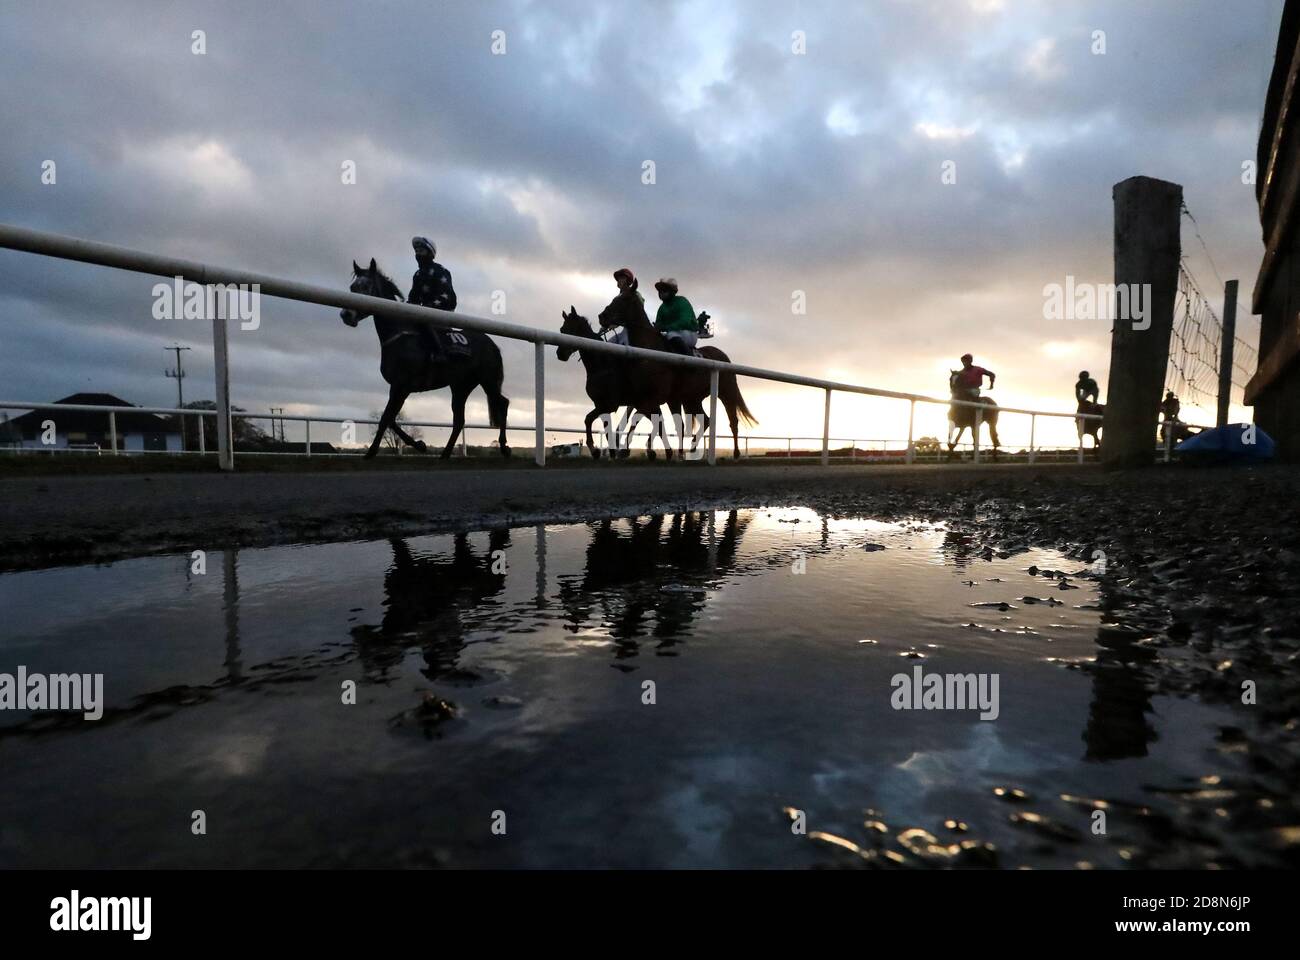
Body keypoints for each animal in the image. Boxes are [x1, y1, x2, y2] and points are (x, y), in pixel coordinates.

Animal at [595, 286, 759, 457]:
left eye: (625, 298)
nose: (602, 316)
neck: (650, 351)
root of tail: (724, 356)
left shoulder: (656, 397)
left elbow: (638, 418)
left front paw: (629, 448)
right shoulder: (653, 397)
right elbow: (648, 420)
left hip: (726, 391)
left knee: (733, 420)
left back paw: (736, 453)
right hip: (692, 398)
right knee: (706, 419)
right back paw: (692, 448)